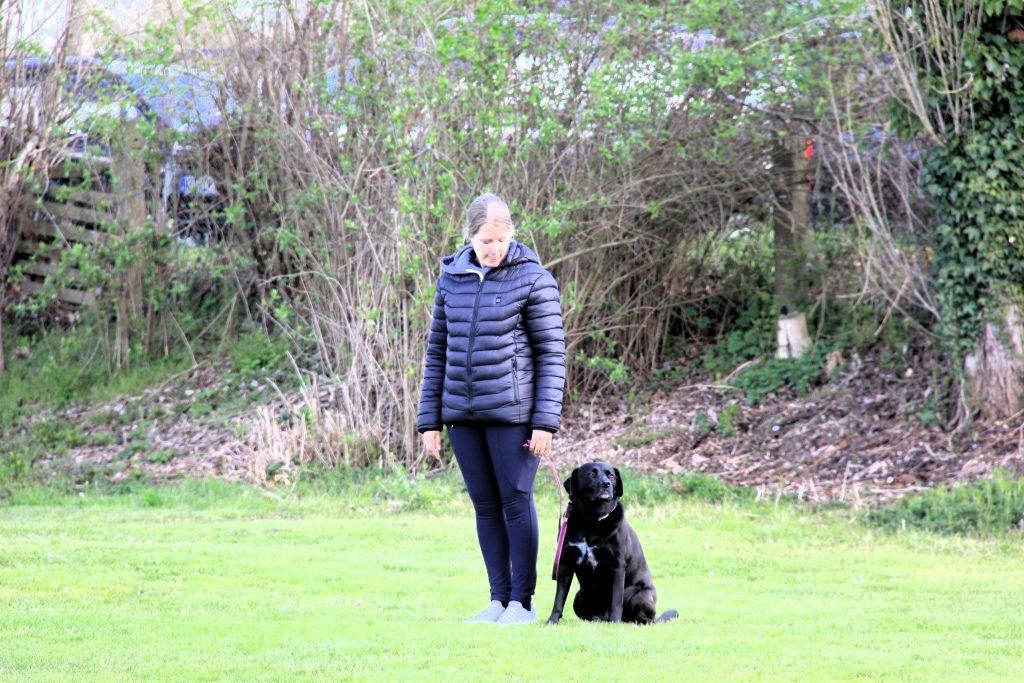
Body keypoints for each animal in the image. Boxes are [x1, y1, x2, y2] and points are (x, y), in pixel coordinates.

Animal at [547, 461, 678, 625]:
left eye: (611, 475)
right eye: (591, 474)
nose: (606, 484)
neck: (591, 520)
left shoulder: (617, 565)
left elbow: (616, 599)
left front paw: (615, 622)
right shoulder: (566, 563)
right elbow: (559, 598)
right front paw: (552, 620)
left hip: (640, 595)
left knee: (645, 619)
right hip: (579, 597)